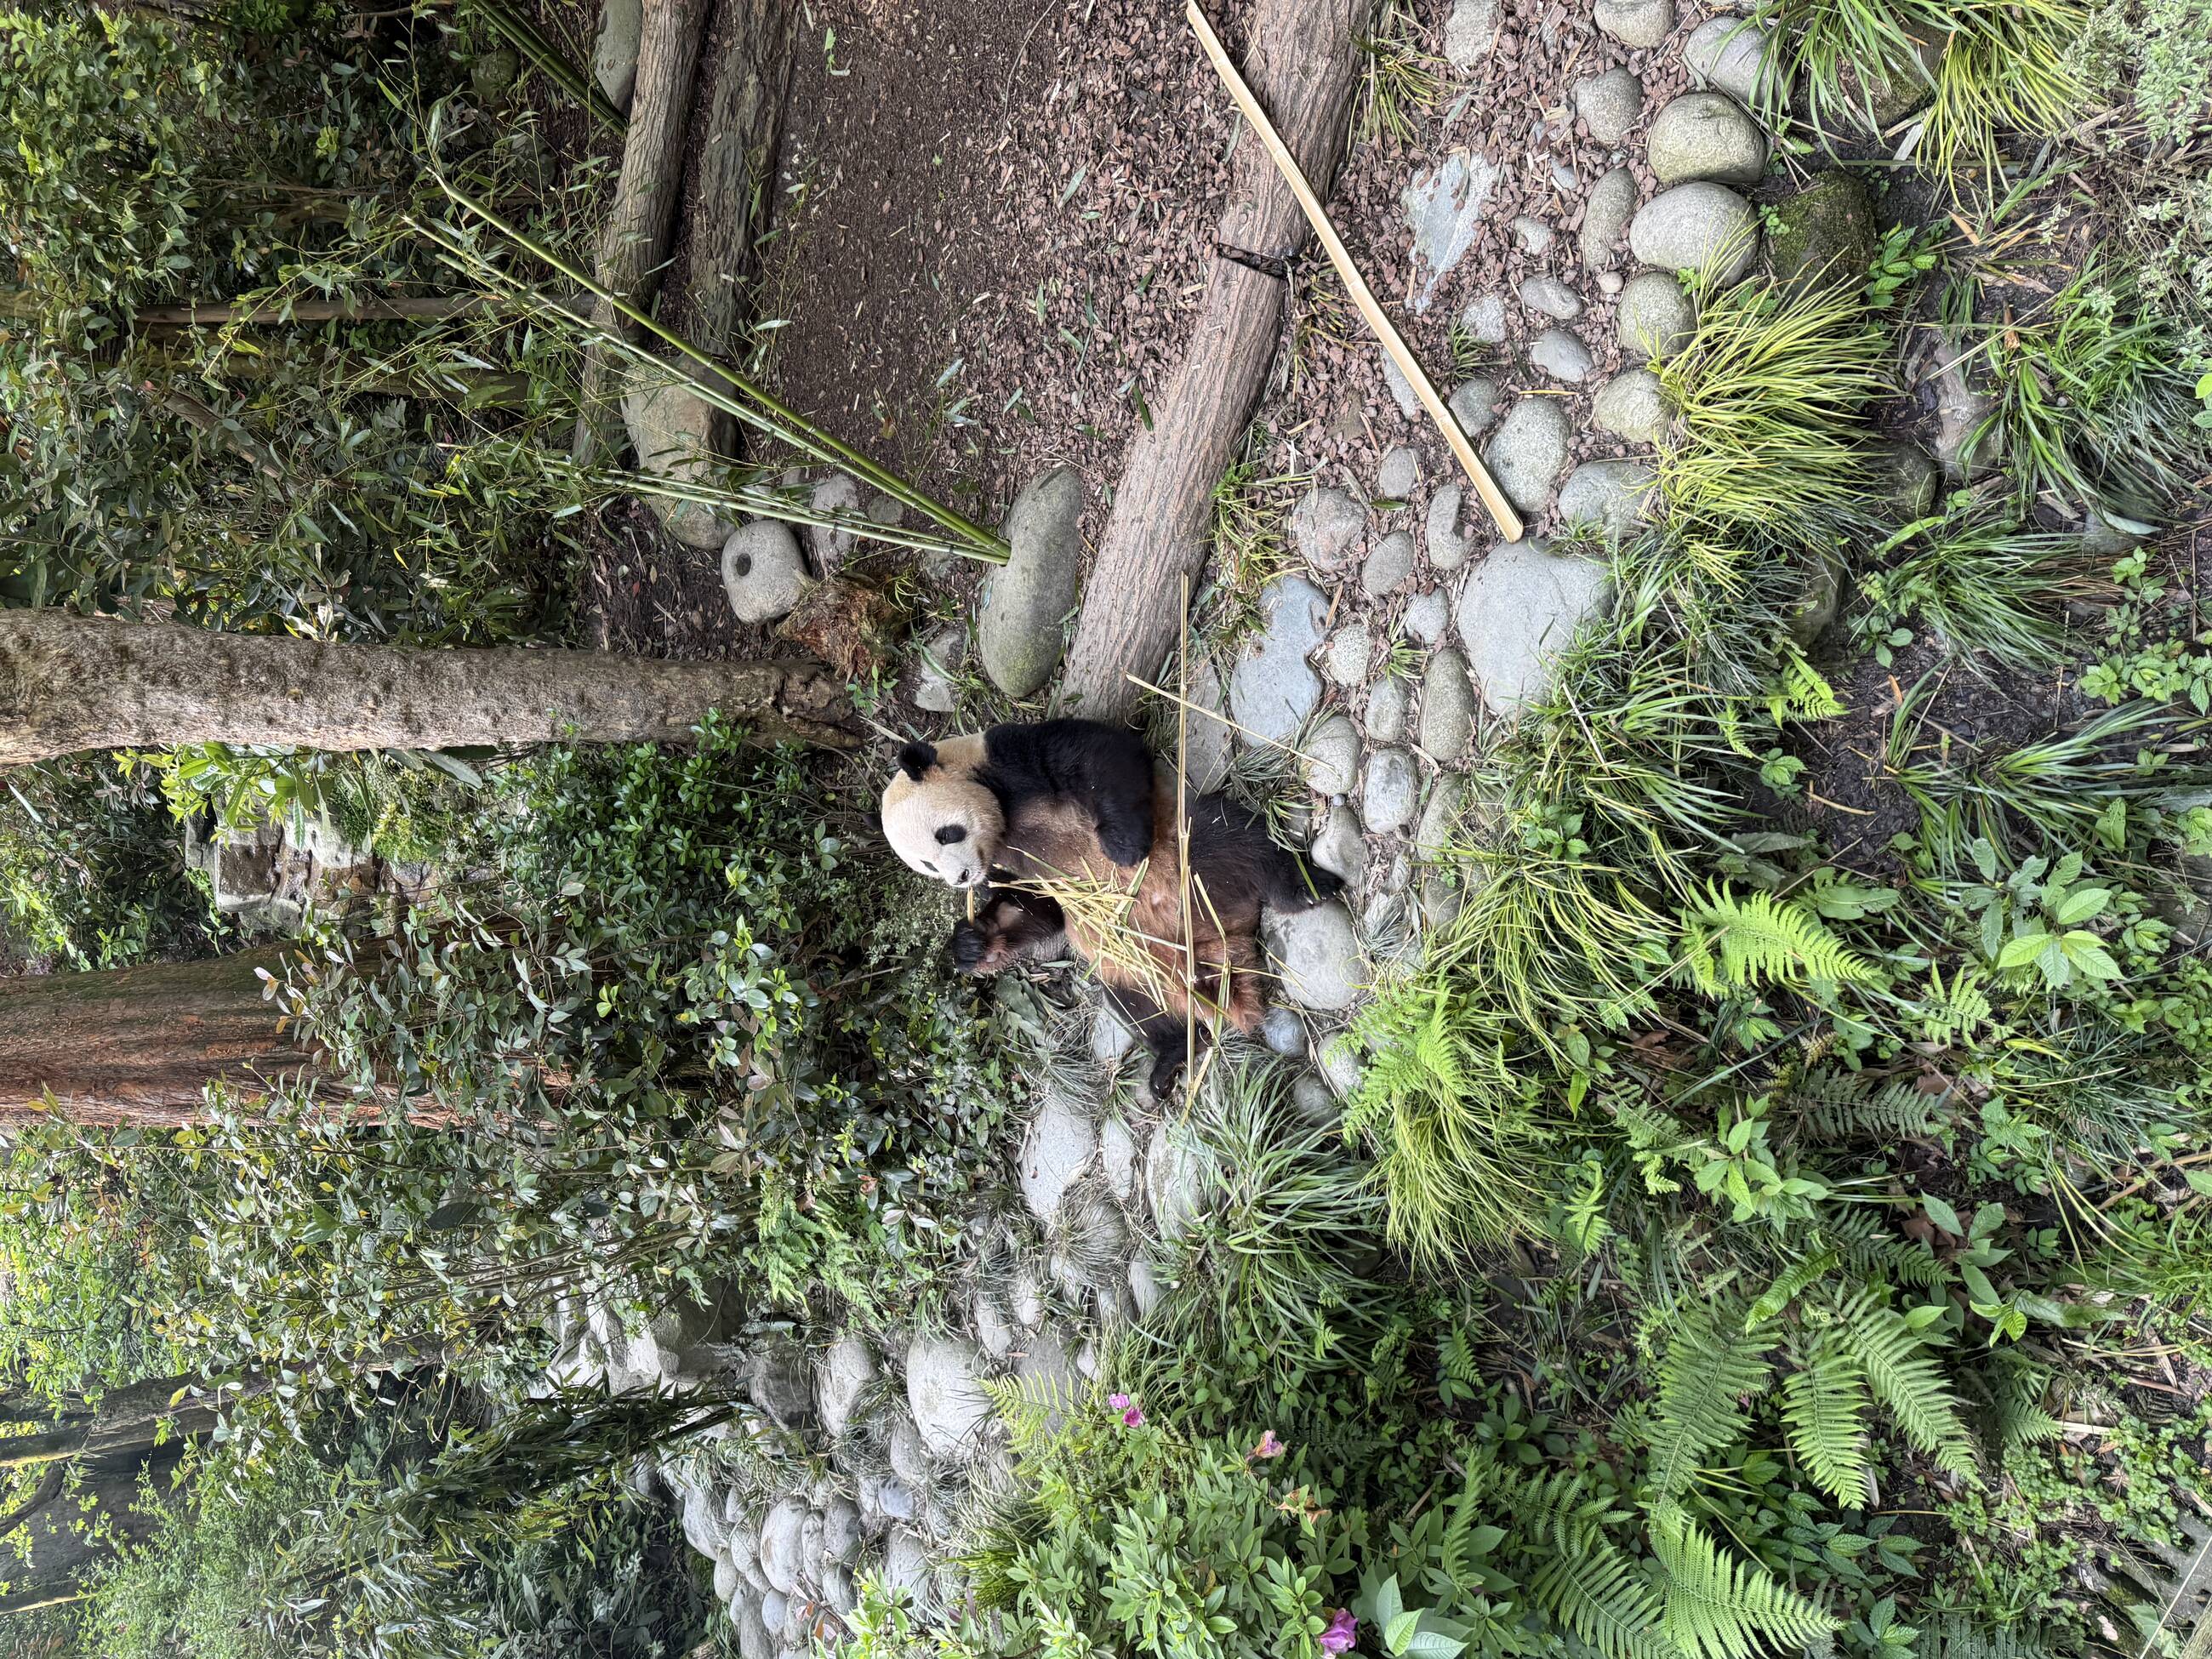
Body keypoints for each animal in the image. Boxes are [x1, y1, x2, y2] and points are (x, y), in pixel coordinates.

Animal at [880, 718, 1340, 1094]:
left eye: (946, 834)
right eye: (925, 864)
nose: (961, 878)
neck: (1001, 825)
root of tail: (1216, 944)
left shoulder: (1008, 758)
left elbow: (1099, 753)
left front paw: (1122, 847)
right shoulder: (1016, 867)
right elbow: (1037, 908)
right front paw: (971, 946)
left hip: (1187, 859)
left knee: (1237, 839)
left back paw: (1308, 886)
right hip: (1129, 964)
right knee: (1137, 1009)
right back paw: (1169, 1060)